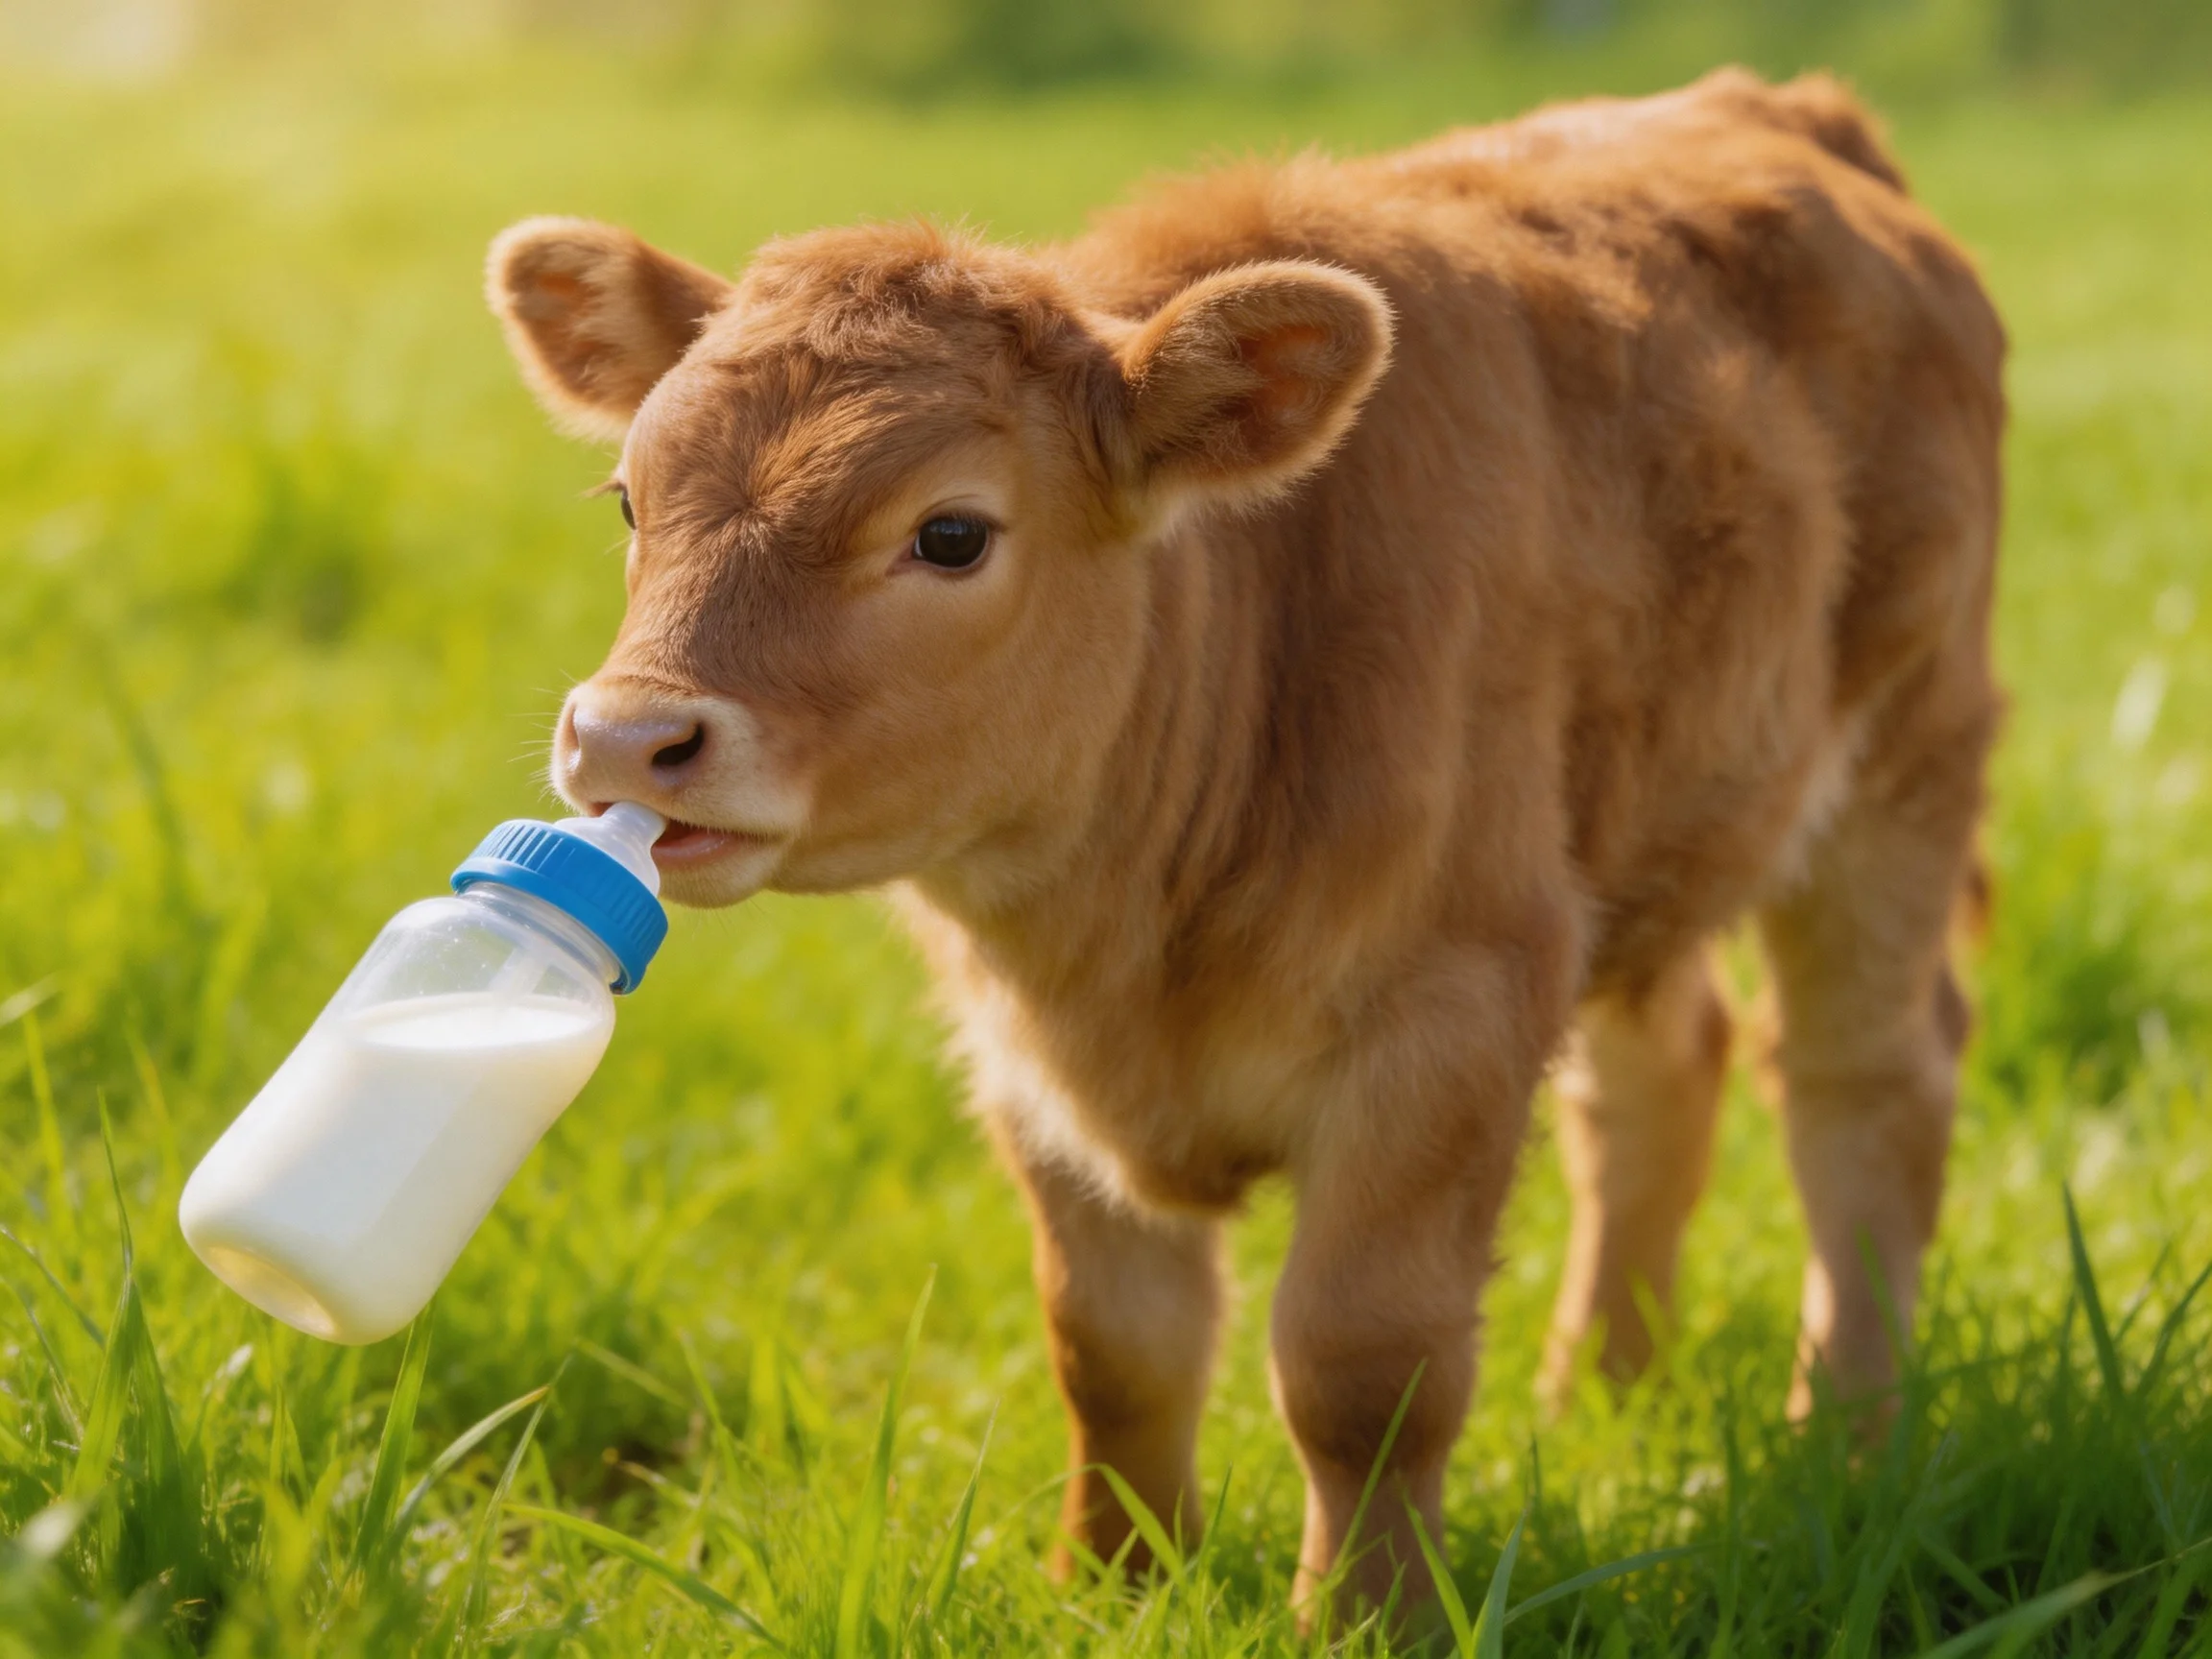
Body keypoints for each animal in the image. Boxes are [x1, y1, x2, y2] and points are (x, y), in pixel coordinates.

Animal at [487, 66, 2004, 1618]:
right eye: (630, 497)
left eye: (952, 534)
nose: (628, 737)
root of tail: (1779, 105)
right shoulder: (1028, 1064)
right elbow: (1115, 1345)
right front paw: (1108, 1585)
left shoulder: (1455, 1013)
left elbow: (1361, 1365)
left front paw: (1366, 1618)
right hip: (1647, 830)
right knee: (1667, 1069)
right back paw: (1599, 1395)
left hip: (1904, 755)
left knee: (1865, 1081)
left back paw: (1848, 1436)